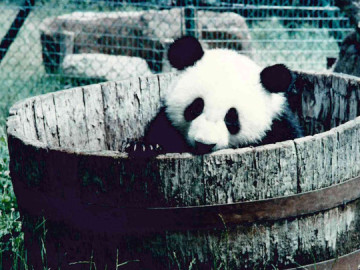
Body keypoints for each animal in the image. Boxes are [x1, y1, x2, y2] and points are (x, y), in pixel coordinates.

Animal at [125, 36, 302, 158]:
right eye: (195, 107)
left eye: (232, 118)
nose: (204, 145)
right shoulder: (167, 119)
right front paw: (144, 147)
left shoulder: (279, 124)